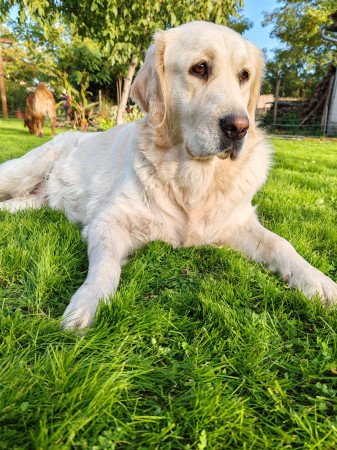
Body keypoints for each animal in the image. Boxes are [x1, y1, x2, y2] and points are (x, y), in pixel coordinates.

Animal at [0, 22, 334, 328]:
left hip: (31, 202)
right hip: (19, 173)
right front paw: (87, 301)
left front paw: (318, 280)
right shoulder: (108, 222)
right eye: (199, 68)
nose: (239, 127)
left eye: (244, 76)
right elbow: (106, 266)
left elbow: (281, 244)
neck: (195, 176)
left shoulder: (237, 221)